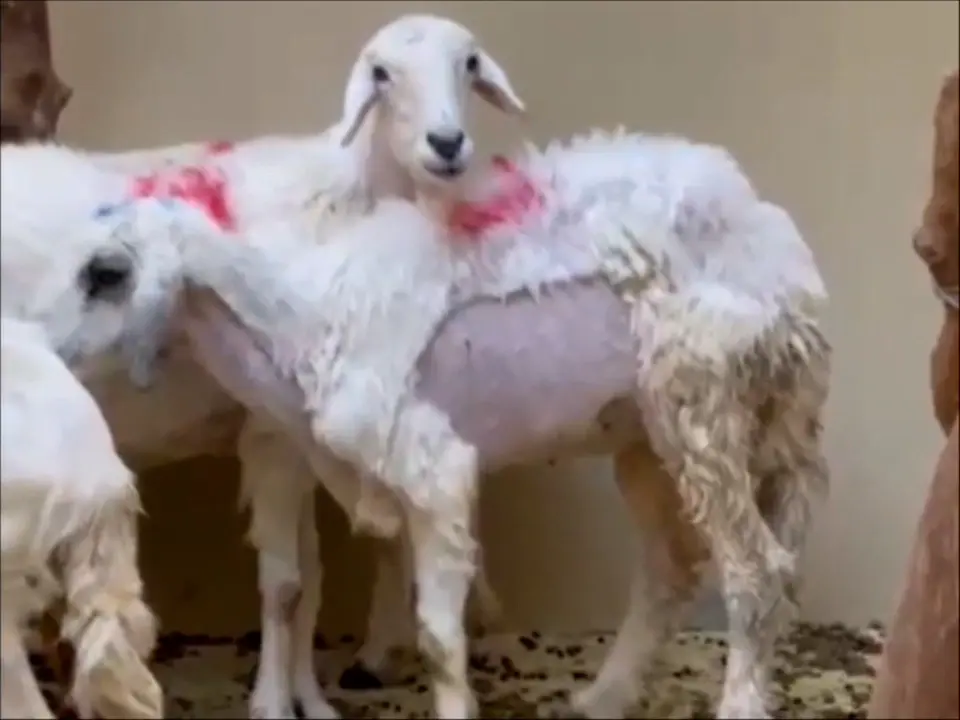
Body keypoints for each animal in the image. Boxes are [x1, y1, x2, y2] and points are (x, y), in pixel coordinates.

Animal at [1, 15, 525, 719]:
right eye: (382, 73)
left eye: (469, 63)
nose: (446, 144)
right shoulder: (271, 431)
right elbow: (287, 584)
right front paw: (276, 701)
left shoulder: (294, 434)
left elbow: (310, 577)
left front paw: (311, 697)